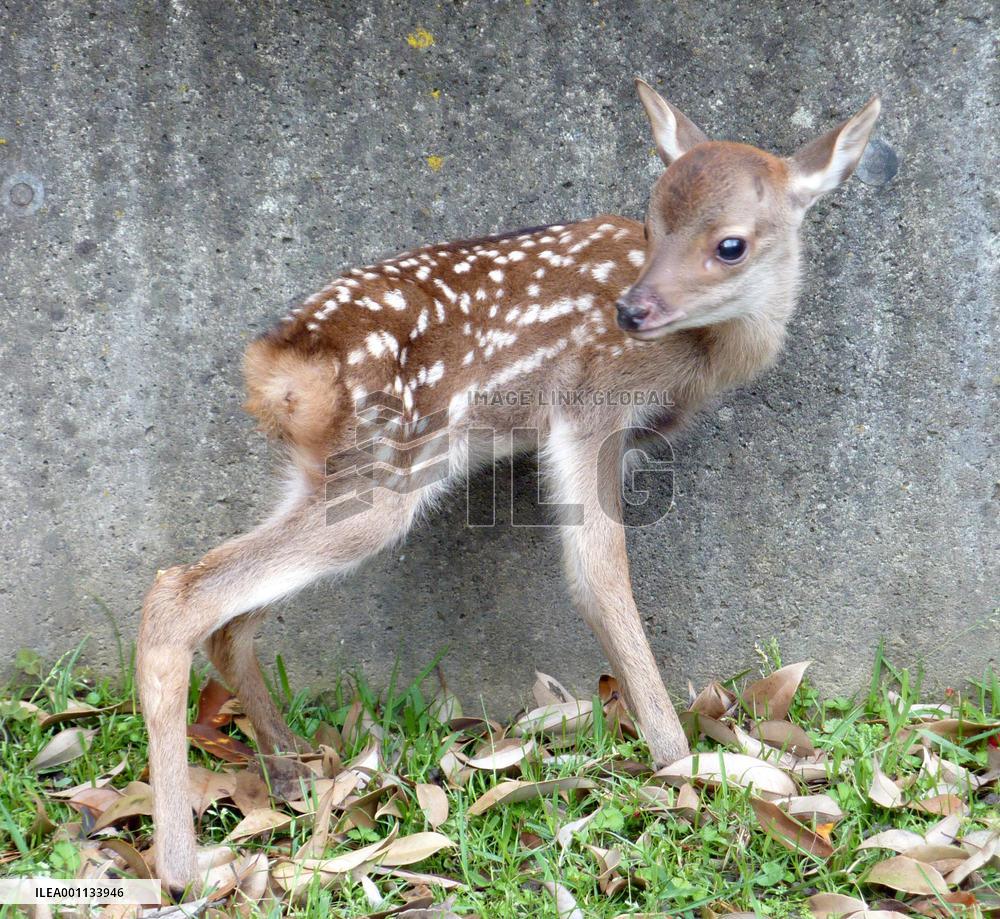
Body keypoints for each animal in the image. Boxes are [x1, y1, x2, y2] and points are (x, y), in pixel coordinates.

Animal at [138, 79, 880, 892]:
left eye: (730, 244)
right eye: (652, 225)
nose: (633, 308)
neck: (709, 355)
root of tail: (277, 367)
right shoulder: (589, 409)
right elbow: (599, 578)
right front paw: (684, 769)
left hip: (323, 473)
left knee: (230, 614)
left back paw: (293, 770)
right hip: (385, 478)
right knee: (181, 594)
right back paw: (184, 865)